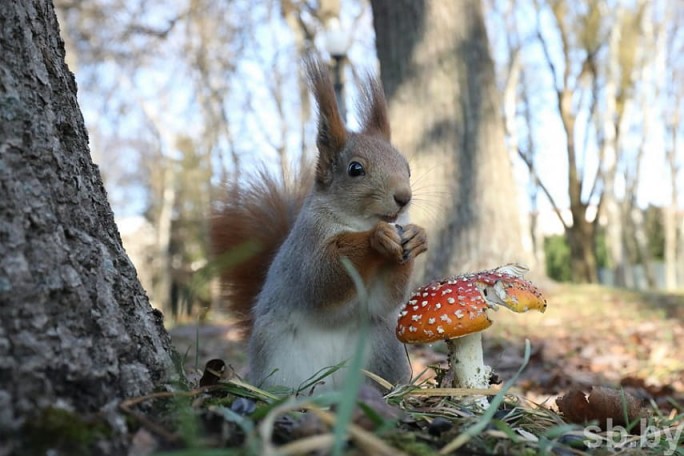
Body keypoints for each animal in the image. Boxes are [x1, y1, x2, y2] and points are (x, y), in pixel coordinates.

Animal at [212, 57, 428, 392]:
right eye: (355, 169)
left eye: (407, 168)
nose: (403, 198)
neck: (357, 222)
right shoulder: (307, 245)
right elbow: (322, 277)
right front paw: (376, 237)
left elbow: (384, 300)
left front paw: (417, 237)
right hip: (278, 355)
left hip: (382, 347)